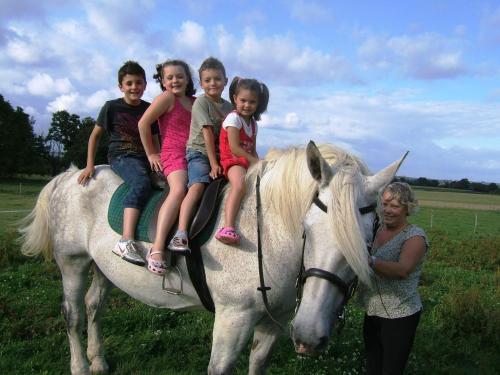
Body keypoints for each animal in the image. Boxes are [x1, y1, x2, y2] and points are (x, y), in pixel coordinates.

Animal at [20, 142, 406, 374]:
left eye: (367, 241)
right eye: (307, 230)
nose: (309, 336)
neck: (266, 233)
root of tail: (74, 174)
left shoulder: (276, 322)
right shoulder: (233, 319)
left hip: (105, 267)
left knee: (94, 306)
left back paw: (98, 361)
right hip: (73, 262)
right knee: (73, 315)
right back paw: (81, 366)